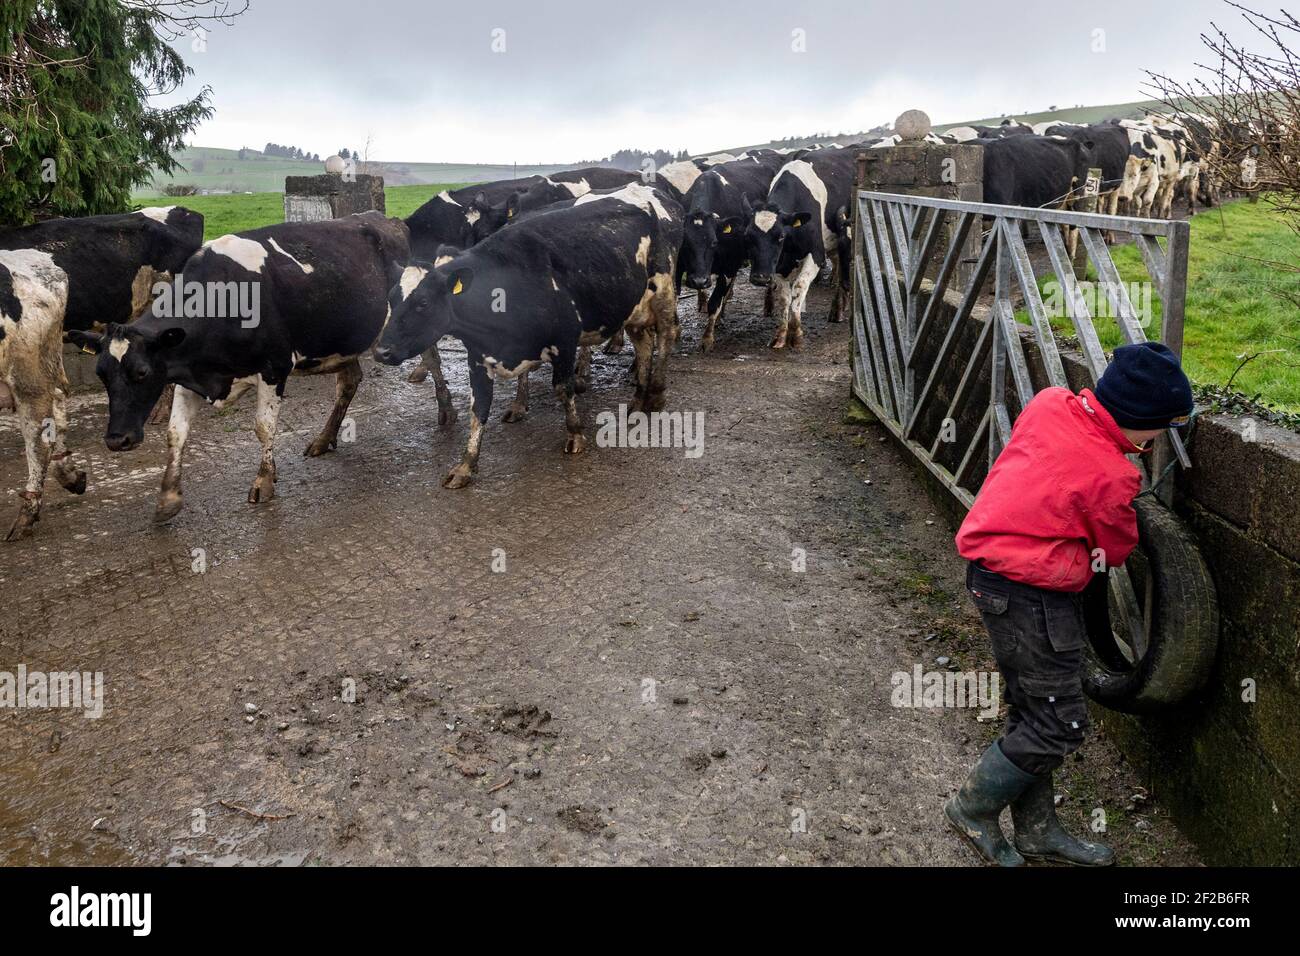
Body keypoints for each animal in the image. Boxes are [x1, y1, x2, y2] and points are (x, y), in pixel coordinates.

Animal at [67, 214, 410, 522]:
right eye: (101, 374)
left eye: (142, 372)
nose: (116, 440)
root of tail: (386, 219)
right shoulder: (186, 374)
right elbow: (175, 433)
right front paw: (168, 498)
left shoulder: (275, 367)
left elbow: (263, 427)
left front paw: (264, 481)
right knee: (349, 381)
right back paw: (324, 439)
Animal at [371, 182, 681, 489]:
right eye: (391, 298)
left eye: (423, 303)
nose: (381, 352)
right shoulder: (478, 355)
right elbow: (479, 407)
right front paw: (466, 465)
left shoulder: (564, 340)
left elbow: (563, 388)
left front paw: (575, 435)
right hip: (632, 304)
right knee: (643, 343)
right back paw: (638, 398)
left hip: (663, 292)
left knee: (667, 335)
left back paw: (655, 394)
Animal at [681, 157, 780, 351]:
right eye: (686, 243)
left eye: (713, 242)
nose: (699, 281)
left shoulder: (728, 265)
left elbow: (714, 303)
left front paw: (707, 339)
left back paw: (769, 305)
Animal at [743, 151, 863, 353]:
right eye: (748, 236)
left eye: (781, 236)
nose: (759, 278)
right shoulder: (778, 264)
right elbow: (785, 298)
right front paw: (781, 336)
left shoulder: (816, 256)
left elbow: (798, 289)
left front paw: (796, 335)